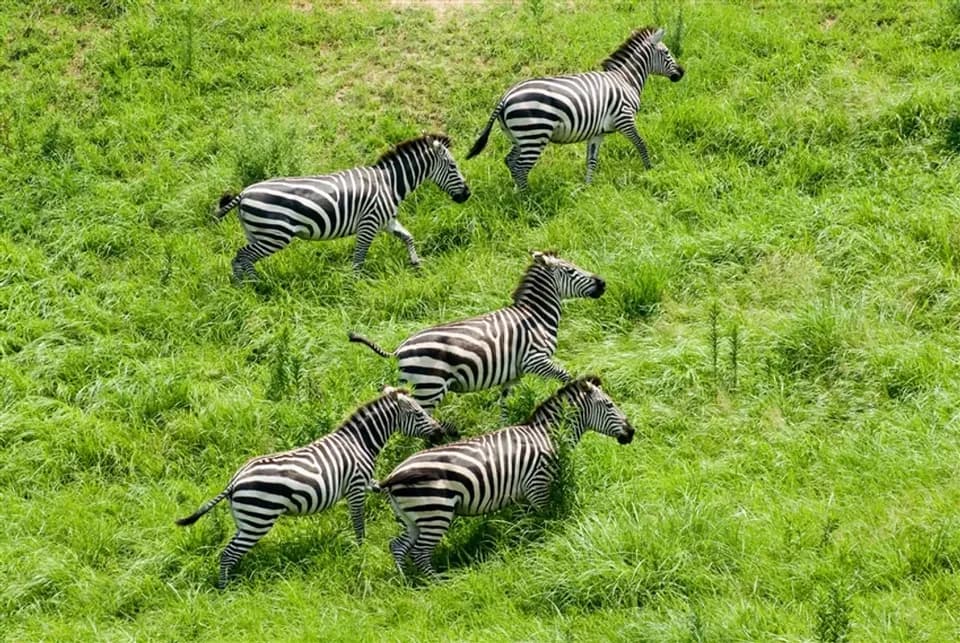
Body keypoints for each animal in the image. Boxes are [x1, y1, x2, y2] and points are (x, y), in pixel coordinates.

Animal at [176, 388, 446, 588]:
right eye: (419, 413)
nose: (441, 432)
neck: (359, 442)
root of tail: (234, 481)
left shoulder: (366, 483)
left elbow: (377, 490)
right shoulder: (356, 487)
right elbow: (358, 523)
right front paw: (361, 550)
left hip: (247, 520)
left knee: (232, 552)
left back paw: (234, 577)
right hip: (259, 518)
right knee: (228, 554)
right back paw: (225, 589)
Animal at [217, 133, 472, 280]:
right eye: (453, 166)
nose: (467, 195)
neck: (389, 183)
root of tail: (244, 193)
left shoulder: (387, 220)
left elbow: (408, 237)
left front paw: (416, 264)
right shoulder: (369, 223)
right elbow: (359, 257)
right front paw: (355, 285)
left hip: (257, 233)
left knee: (241, 258)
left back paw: (245, 288)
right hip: (275, 235)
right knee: (242, 256)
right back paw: (255, 285)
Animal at [348, 252, 604, 412]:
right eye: (570, 270)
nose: (602, 283)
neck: (536, 316)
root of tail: (399, 349)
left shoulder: (512, 374)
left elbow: (503, 404)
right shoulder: (535, 359)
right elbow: (566, 376)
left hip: (418, 385)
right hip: (429, 386)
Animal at [376, 374, 636, 580]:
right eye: (610, 405)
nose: (631, 432)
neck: (547, 435)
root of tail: (392, 476)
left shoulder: (521, 493)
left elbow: (524, 522)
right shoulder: (538, 485)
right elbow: (546, 519)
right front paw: (548, 541)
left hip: (412, 518)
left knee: (397, 546)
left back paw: (406, 582)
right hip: (435, 511)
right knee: (419, 552)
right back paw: (437, 583)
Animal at [464, 27, 684, 189]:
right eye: (666, 52)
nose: (681, 73)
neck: (624, 79)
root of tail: (505, 97)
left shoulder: (598, 132)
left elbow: (591, 160)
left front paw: (587, 189)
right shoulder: (625, 118)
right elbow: (640, 144)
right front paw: (650, 169)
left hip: (519, 136)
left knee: (510, 161)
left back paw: (518, 193)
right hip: (534, 134)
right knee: (520, 168)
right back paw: (527, 200)